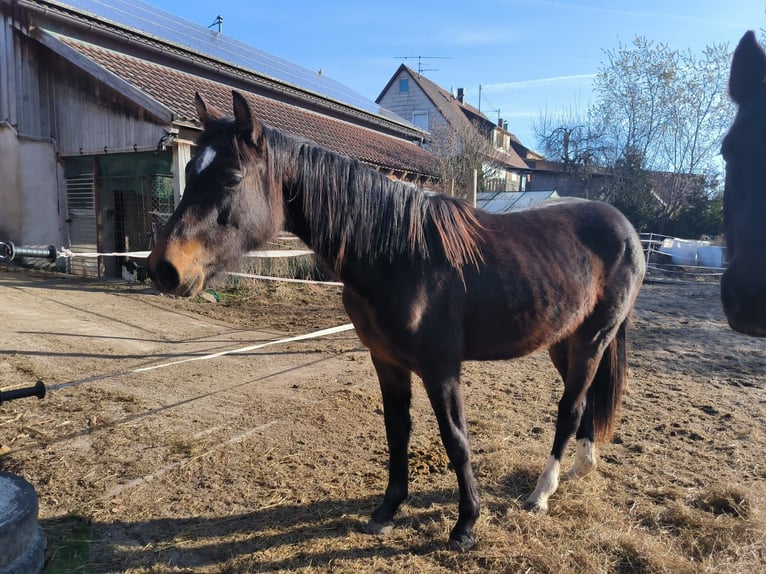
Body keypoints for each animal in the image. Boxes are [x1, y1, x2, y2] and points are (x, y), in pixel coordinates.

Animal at [146, 91, 645, 550]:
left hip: (592, 340)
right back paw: (581, 467)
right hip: (564, 341)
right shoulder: (387, 362)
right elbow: (396, 432)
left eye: (232, 177)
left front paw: (466, 524)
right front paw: (388, 509)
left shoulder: (442, 370)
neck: (398, 256)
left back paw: (542, 494)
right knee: (585, 403)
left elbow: (455, 440)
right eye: (191, 173)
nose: (164, 269)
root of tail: (627, 229)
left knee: (570, 407)